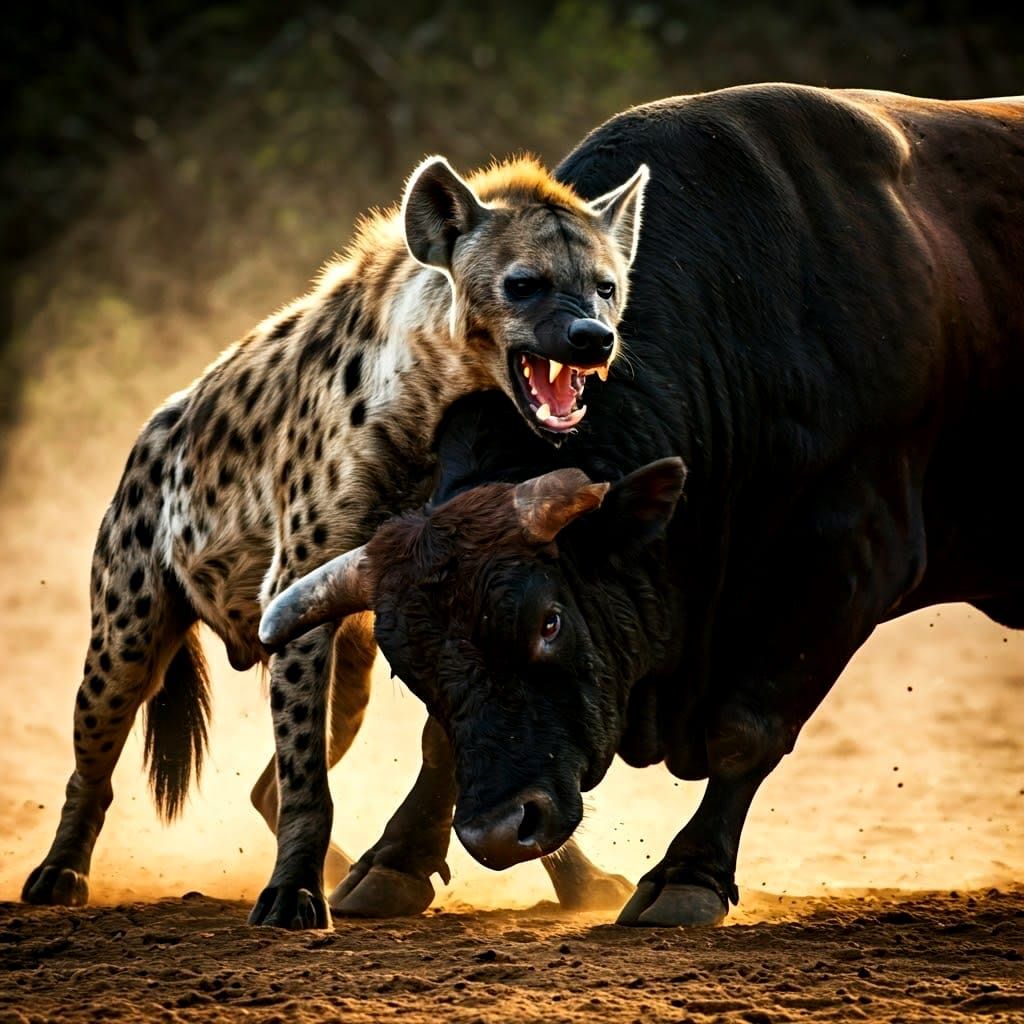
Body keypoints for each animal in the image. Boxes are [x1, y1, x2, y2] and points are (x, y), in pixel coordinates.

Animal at [260, 83, 1024, 927]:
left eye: (550, 621)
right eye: (405, 661)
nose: (499, 829)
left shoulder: (847, 563)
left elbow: (748, 729)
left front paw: (688, 875)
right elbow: (438, 742)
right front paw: (395, 858)